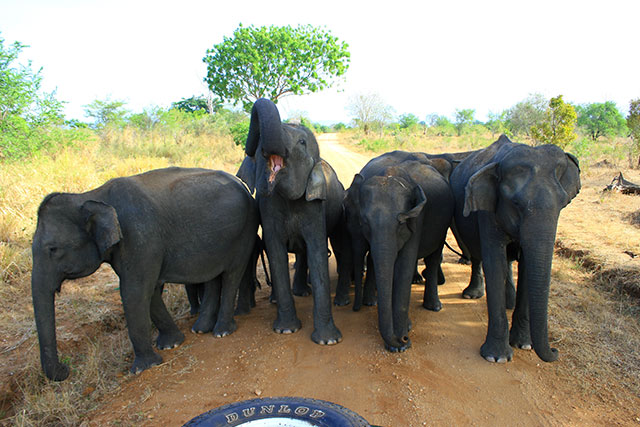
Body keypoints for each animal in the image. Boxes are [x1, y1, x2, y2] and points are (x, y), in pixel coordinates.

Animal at [31, 167, 259, 381]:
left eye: (53, 249)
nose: (66, 369)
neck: (91, 195)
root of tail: (242, 185)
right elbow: (149, 291)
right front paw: (171, 345)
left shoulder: (140, 237)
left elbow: (134, 291)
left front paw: (143, 367)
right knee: (212, 276)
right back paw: (201, 329)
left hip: (244, 230)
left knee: (232, 274)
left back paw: (222, 332)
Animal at [236, 98, 349, 345]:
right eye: (258, 144)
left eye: (302, 142)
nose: (252, 146)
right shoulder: (268, 208)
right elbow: (275, 252)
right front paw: (286, 330)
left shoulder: (314, 206)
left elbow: (317, 251)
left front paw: (328, 342)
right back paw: (280, 298)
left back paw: (303, 292)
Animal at [355, 159, 454, 352]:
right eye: (365, 223)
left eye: (401, 223)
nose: (404, 339)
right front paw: (399, 341)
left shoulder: (417, 220)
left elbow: (403, 269)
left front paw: (401, 346)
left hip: (442, 228)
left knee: (433, 257)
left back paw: (434, 308)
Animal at [449, 135, 580, 363]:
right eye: (516, 203)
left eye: (564, 203)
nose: (556, 351)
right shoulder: (488, 209)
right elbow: (495, 262)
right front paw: (496, 357)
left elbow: (527, 266)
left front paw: (524, 345)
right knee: (478, 255)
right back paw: (472, 295)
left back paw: (508, 302)